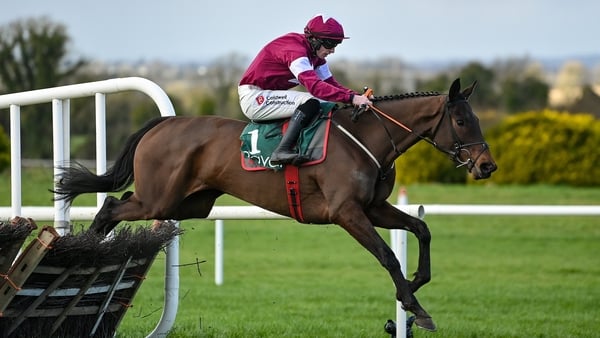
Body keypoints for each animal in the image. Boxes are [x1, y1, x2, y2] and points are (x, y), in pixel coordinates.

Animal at [54, 78, 496, 332]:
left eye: (475, 119)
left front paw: (415, 287)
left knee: (120, 202)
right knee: (111, 206)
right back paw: (81, 253)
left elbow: (422, 229)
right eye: (461, 121)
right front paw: (415, 305)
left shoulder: (373, 208)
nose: (487, 165)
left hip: (187, 204)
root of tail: (163, 123)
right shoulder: (347, 213)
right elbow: (387, 255)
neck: (368, 138)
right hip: (160, 198)